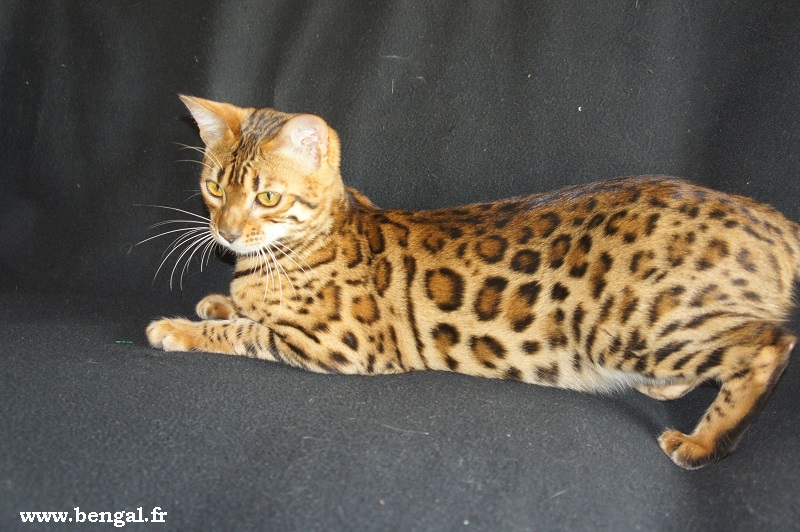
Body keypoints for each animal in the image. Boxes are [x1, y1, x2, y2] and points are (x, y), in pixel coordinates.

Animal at [148, 95, 800, 469]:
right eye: (214, 188)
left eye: (267, 197)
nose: (226, 232)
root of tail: (769, 216)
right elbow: (241, 310)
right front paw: (216, 299)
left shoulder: (343, 345)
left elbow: (247, 333)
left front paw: (178, 328)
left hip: (632, 325)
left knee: (771, 345)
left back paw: (702, 443)